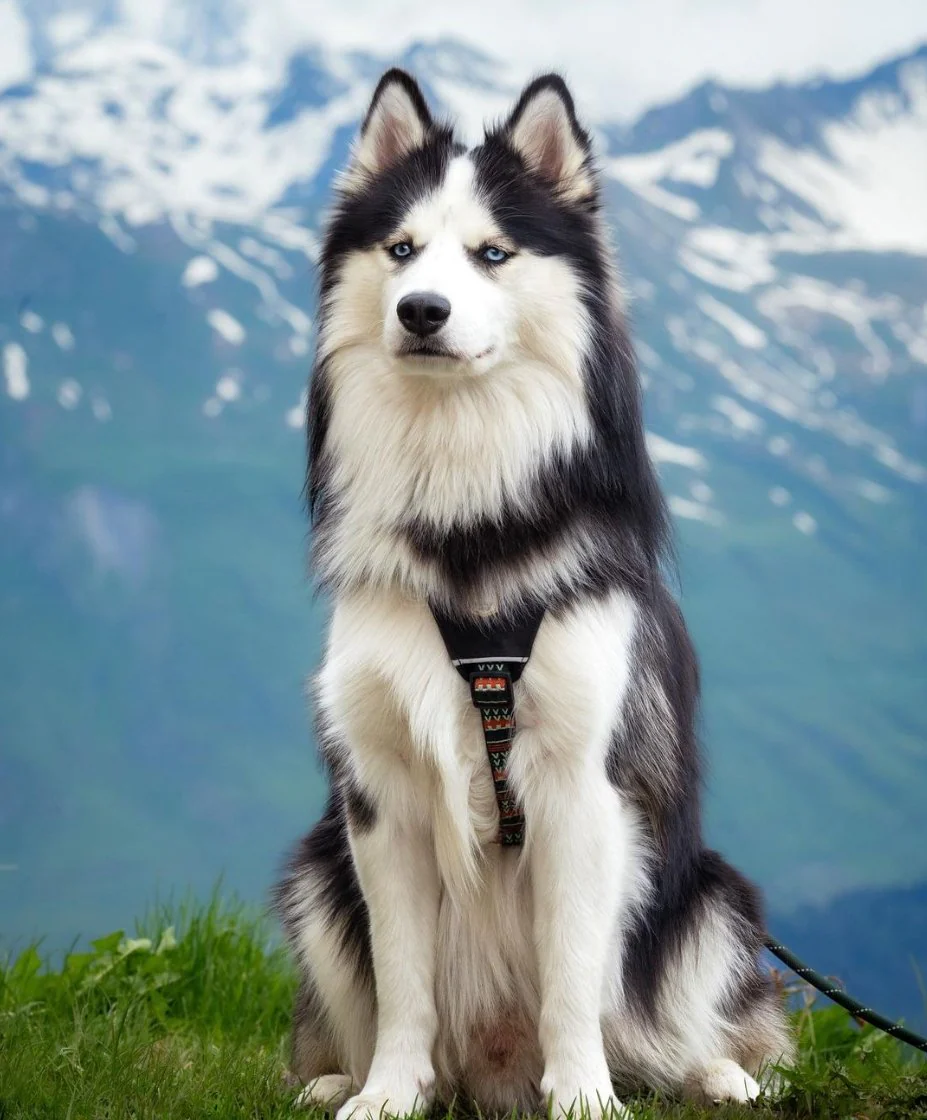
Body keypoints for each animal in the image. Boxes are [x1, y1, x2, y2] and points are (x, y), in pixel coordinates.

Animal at [275, 68, 793, 1120]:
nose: (421, 311)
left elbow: (569, 974)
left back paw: (716, 1075)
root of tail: (492, 1073)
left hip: (710, 896)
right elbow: (403, 980)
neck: (466, 525)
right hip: (314, 873)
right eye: (401, 250)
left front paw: (584, 1097)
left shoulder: (582, 785)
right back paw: (337, 1079)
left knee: (666, 1027)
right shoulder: (379, 796)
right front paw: (387, 1093)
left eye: (492, 253)